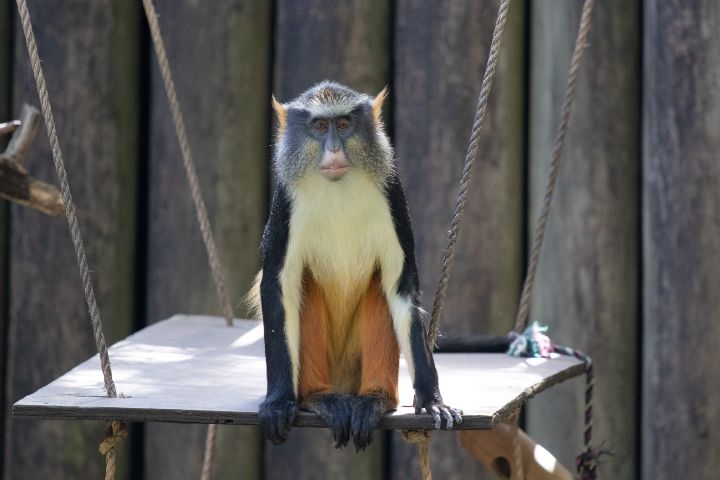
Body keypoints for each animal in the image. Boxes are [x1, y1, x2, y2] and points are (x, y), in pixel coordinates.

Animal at [251, 81, 462, 451]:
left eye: (344, 124)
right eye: (321, 127)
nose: (334, 149)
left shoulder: (392, 194)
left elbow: (401, 288)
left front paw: (432, 399)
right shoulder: (284, 203)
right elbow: (278, 285)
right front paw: (277, 402)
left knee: (379, 288)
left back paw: (374, 400)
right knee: (306, 285)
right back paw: (319, 397)